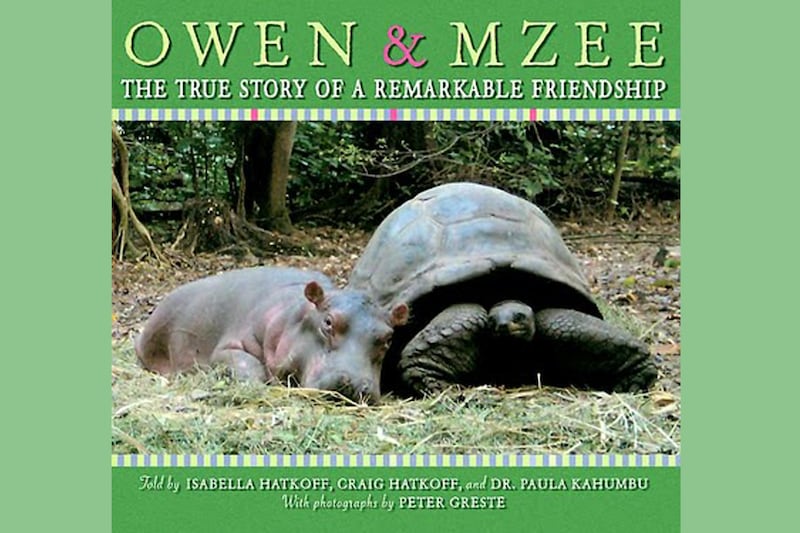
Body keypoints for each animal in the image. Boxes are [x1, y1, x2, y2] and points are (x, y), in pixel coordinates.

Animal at [135, 267, 409, 404]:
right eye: (328, 322)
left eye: (388, 338)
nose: (356, 385)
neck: (294, 314)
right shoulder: (232, 342)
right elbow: (243, 361)